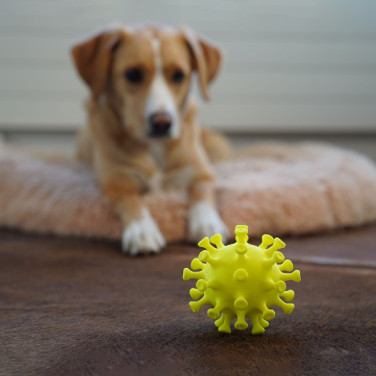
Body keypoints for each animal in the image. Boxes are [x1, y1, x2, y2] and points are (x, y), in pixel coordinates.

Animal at [69, 25, 231, 256]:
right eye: (133, 74)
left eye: (178, 75)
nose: (162, 123)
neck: (155, 147)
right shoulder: (117, 183)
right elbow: (132, 202)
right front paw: (142, 230)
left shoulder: (202, 173)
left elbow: (202, 192)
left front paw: (207, 223)